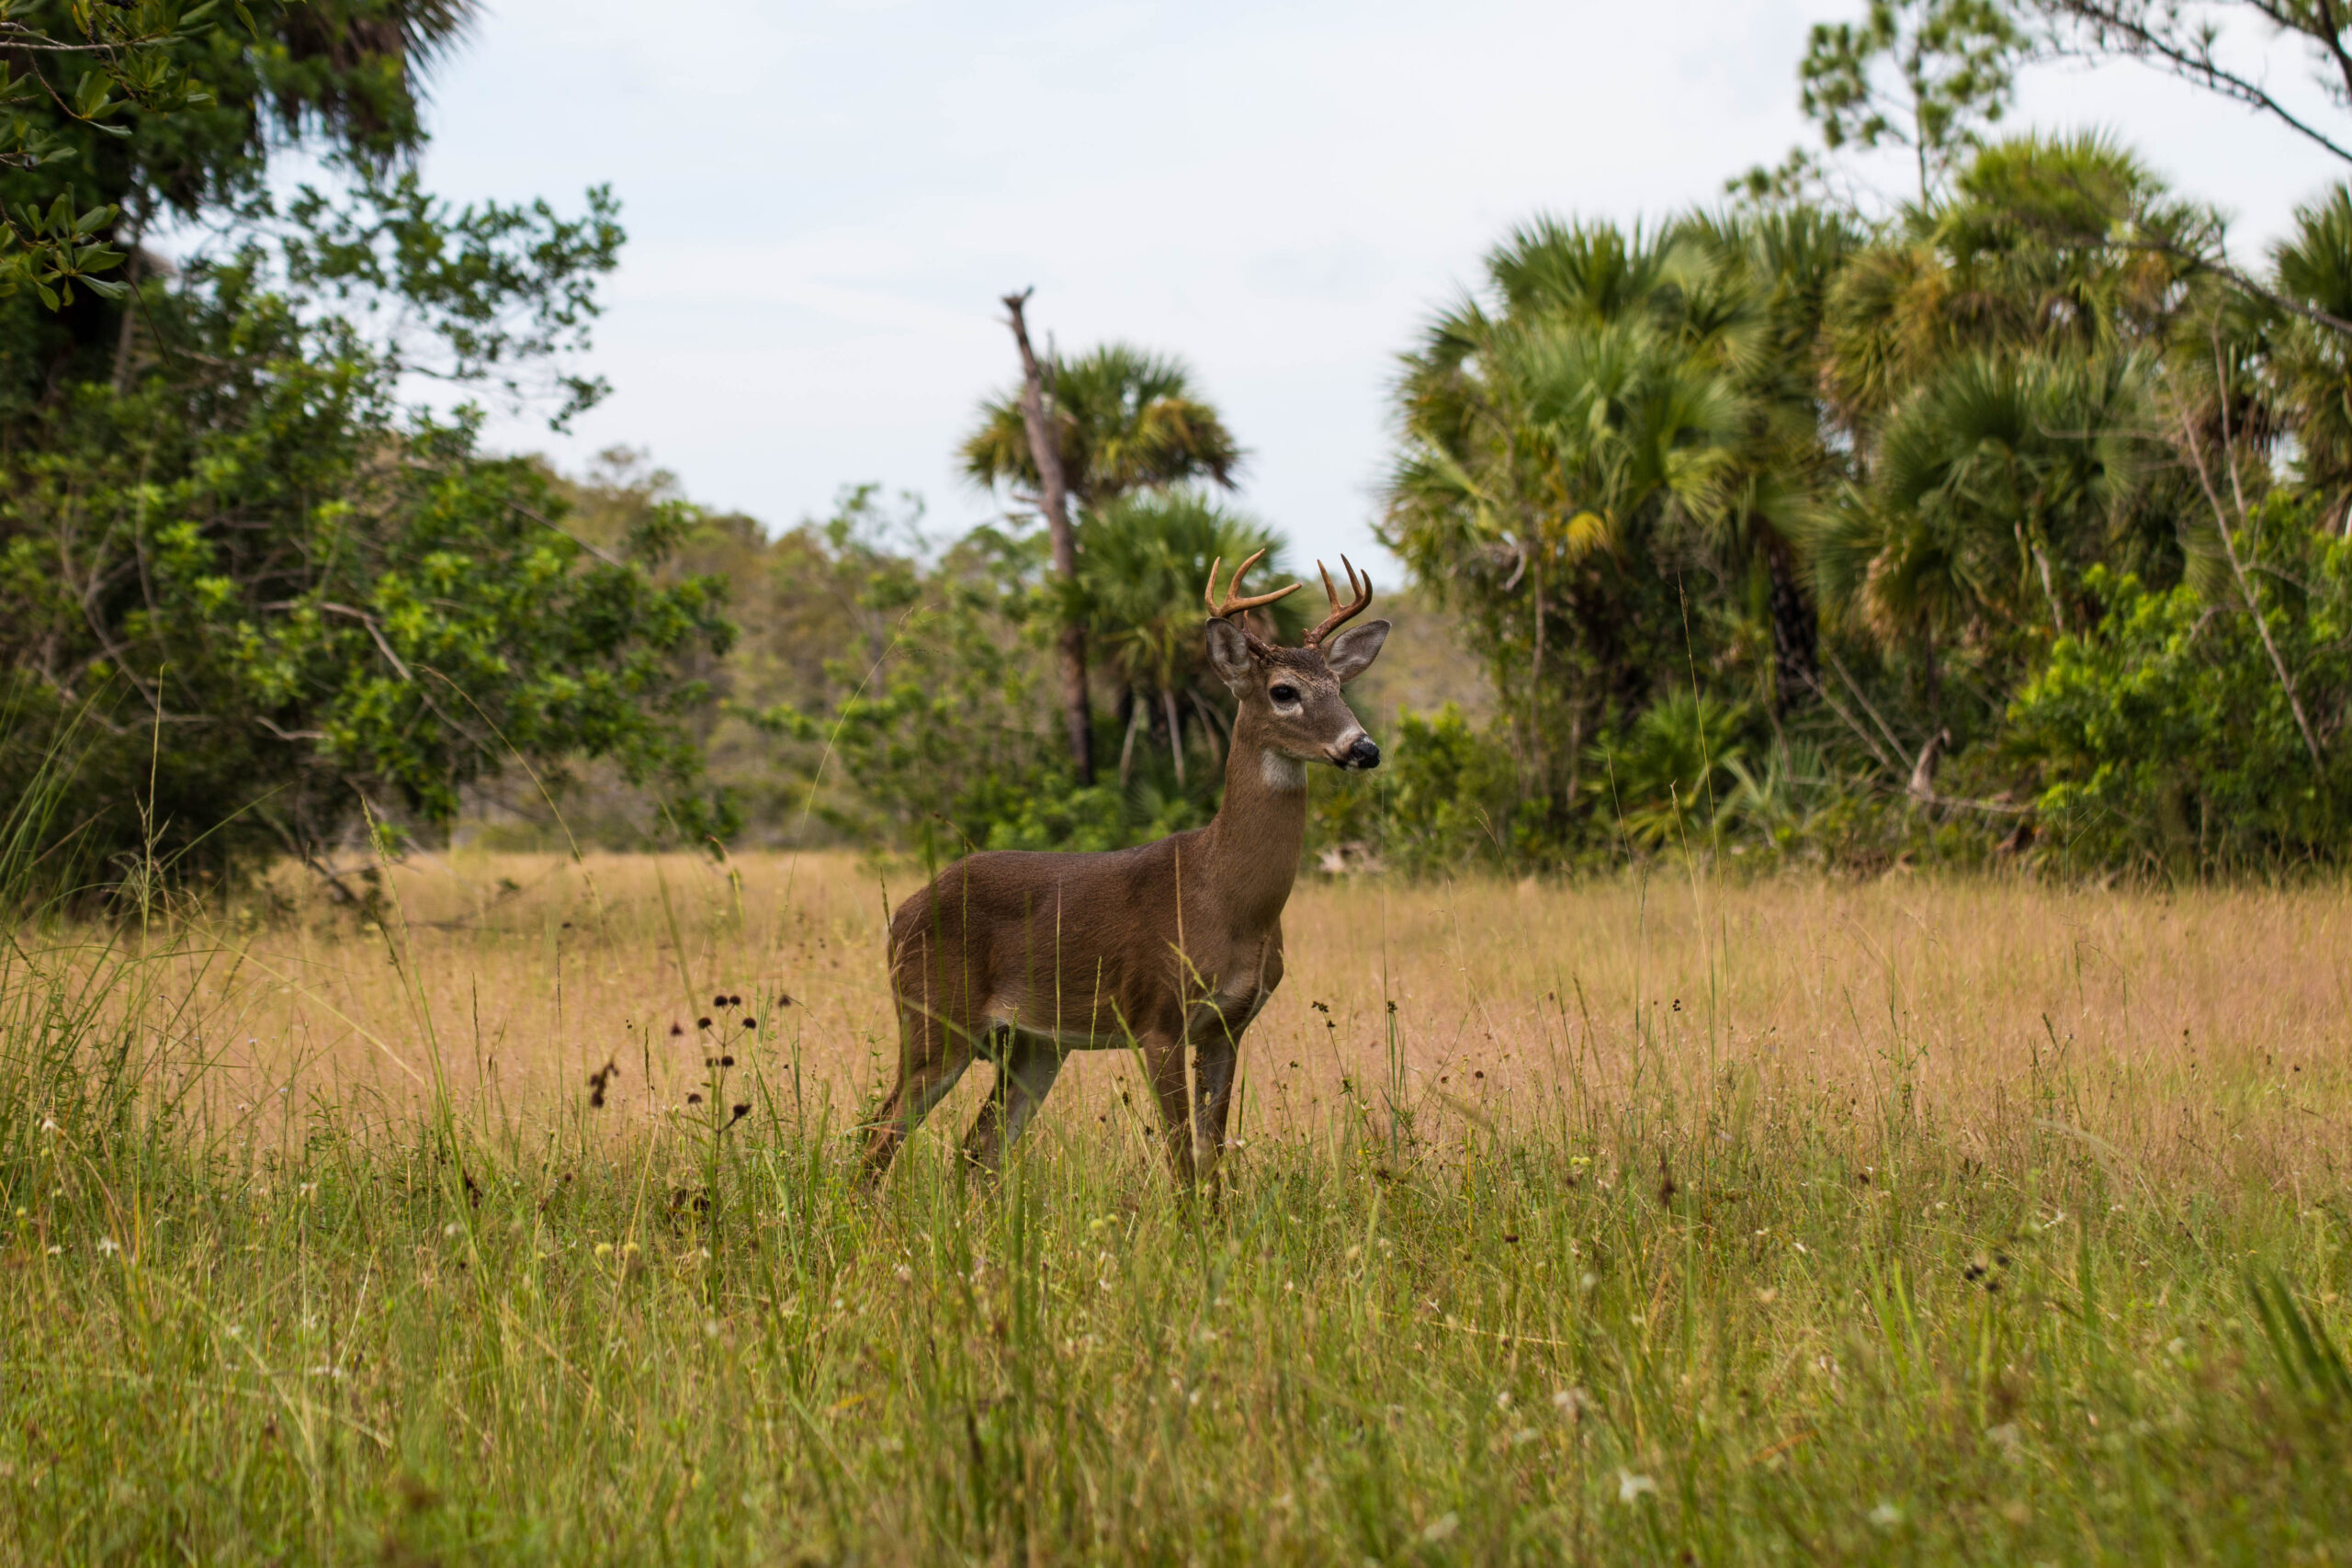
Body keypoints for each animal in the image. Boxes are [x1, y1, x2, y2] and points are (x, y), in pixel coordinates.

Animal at [865, 552, 1383, 1189]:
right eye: (1283, 691)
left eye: (1340, 687)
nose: (1364, 748)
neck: (1225, 898)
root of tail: (900, 915)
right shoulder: (1156, 1017)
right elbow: (1183, 1161)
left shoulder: (1230, 1026)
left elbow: (1212, 1159)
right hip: (933, 1014)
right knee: (877, 1138)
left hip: (1034, 1045)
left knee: (975, 1148)